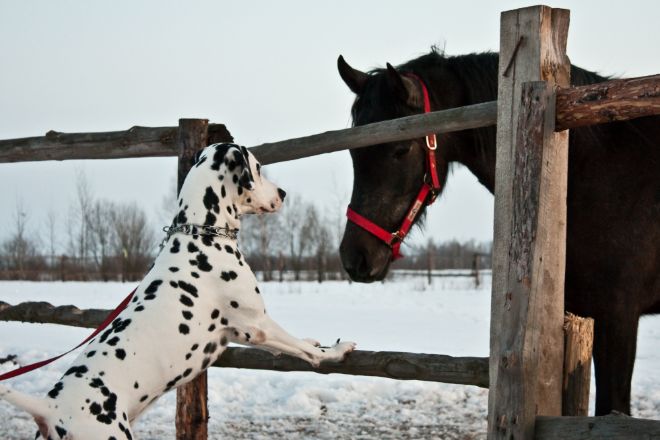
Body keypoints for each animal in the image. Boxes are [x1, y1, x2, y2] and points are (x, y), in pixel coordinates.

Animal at [0, 143, 356, 438]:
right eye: (257, 167)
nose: (283, 193)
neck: (202, 234)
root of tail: (50, 410)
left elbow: (293, 346)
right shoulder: (258, 326)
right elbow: (303, 350)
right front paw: (334, 350)